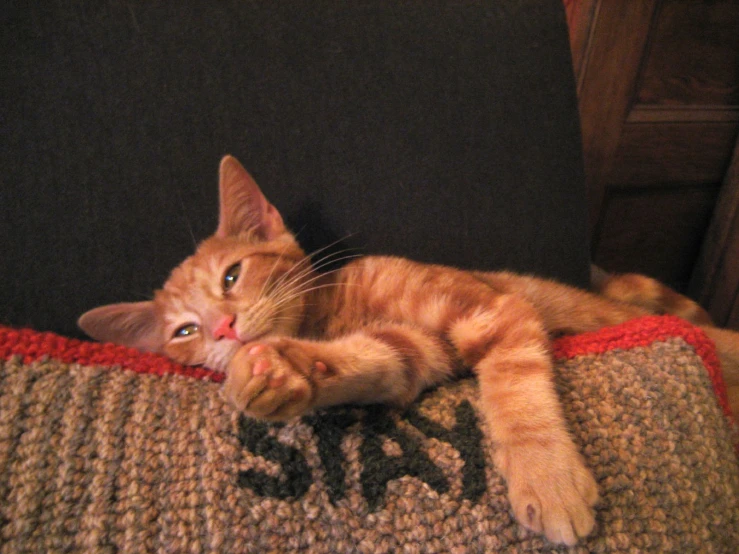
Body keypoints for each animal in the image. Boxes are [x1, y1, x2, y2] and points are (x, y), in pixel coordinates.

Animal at [78, 155, 736, 544]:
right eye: (183, 333)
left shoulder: (491, 313)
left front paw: (547, 478)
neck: (334, 311)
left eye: (232, 276)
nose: (223, 331)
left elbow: (518, 396)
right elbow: (377, 362)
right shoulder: (412, 353)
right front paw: (285, 367)